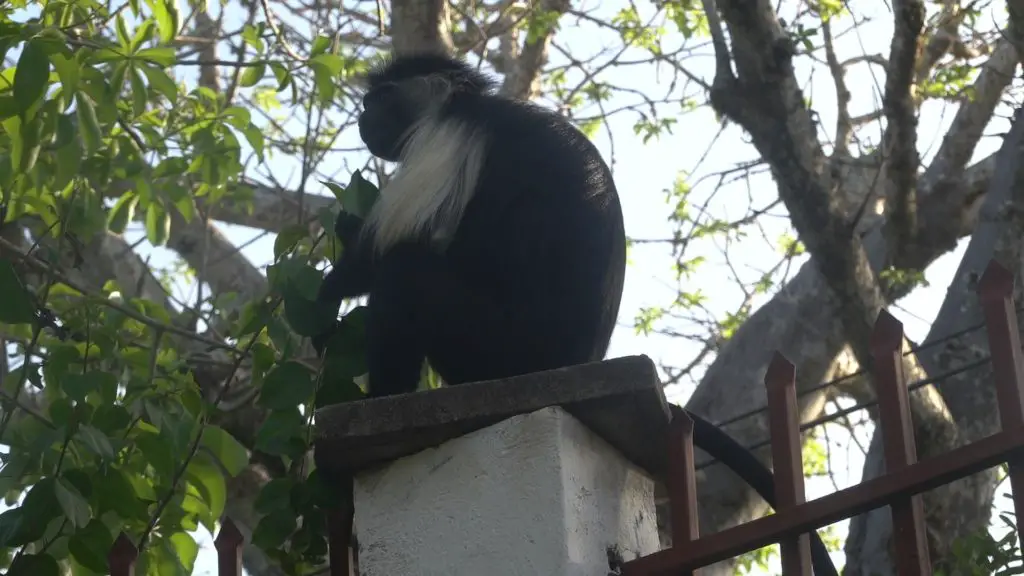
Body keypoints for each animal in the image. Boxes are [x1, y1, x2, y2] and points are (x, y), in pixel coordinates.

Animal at [315, 52, 835, 573]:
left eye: (380, 98)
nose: (362, 118)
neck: (467, 103)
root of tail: (570, 362)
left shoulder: (446, 137)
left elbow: (381, 255)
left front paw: (328, 288)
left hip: (494, 342)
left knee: (405, 274)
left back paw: (381, 402)